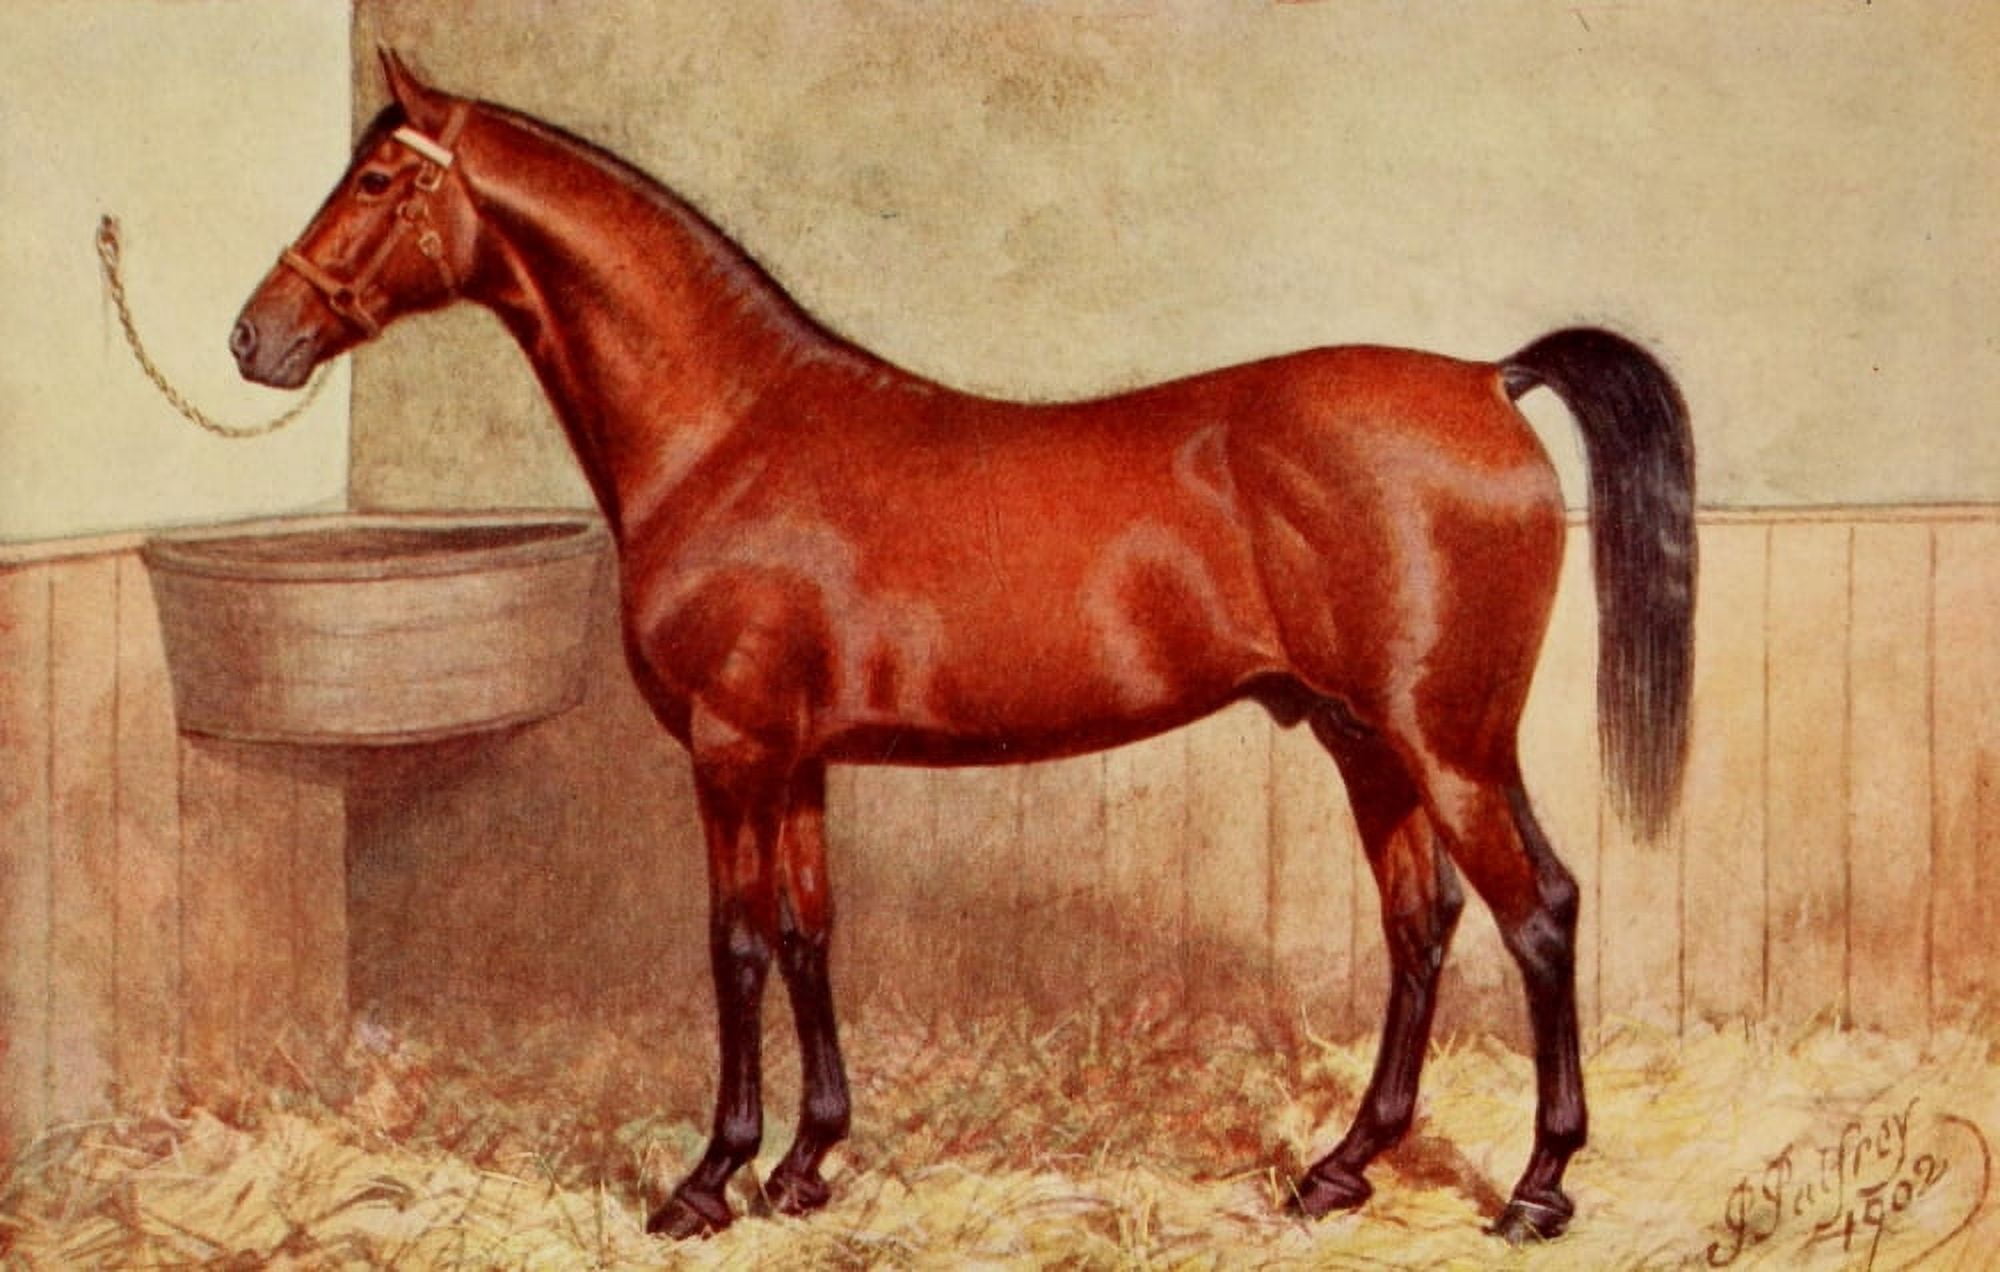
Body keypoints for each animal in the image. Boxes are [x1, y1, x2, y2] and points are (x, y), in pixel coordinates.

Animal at [230, 51, 1694, 1244]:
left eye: (373, 180)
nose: (256, 337)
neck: (730, 430)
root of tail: (1488, 379)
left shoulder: (731, 748)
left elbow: (734, 945)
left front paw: (710, 1179)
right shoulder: (798, 760)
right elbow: (811, 934)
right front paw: (807, 1166)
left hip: (1449, 743)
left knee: (1540, 911)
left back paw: (1538, 1187)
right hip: (1360, 738)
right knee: (1419, 920)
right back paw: (1339, 1169)